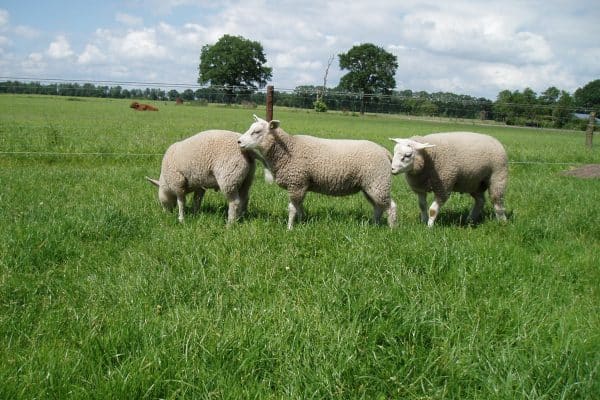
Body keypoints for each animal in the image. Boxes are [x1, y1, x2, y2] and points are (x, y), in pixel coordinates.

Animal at [237, 114, 396, 230]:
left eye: (257, 132)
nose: (239, 141)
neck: (289, 149)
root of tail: (384, 151)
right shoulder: (301, 185)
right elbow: (299, 207)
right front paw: (302, 221)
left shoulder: (296, 183)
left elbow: (292, 209)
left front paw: (289, 228)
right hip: (370, 185)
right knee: (378, 207)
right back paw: (374, 225)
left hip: (378, 182)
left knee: (391, 206)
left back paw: (392, 229)